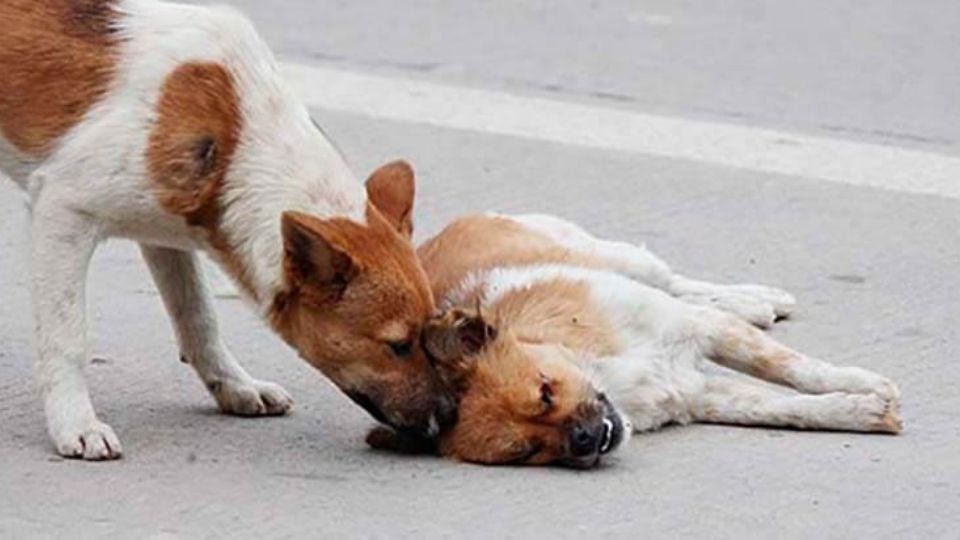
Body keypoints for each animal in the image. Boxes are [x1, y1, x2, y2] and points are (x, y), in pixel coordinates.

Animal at [0, 0, 454, 460]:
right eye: (398, 345)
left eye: (428, 335)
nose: (449, 416)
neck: (236, 140)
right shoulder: (63, 211)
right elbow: (67, 337)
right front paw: (75, 422)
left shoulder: (164, 234)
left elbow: (198, 318)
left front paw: (234, 386)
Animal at [368, 213, 900, 466]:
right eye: (527, 452)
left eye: (545, 391)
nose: (584, 440)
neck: (606, 369)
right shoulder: (698, 393)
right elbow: (788, 410)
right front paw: (860, 411)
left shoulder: (702, 331)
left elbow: (797, 369)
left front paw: (863, 384)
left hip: (621, 258)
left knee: (677, 281)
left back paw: (756, 299)